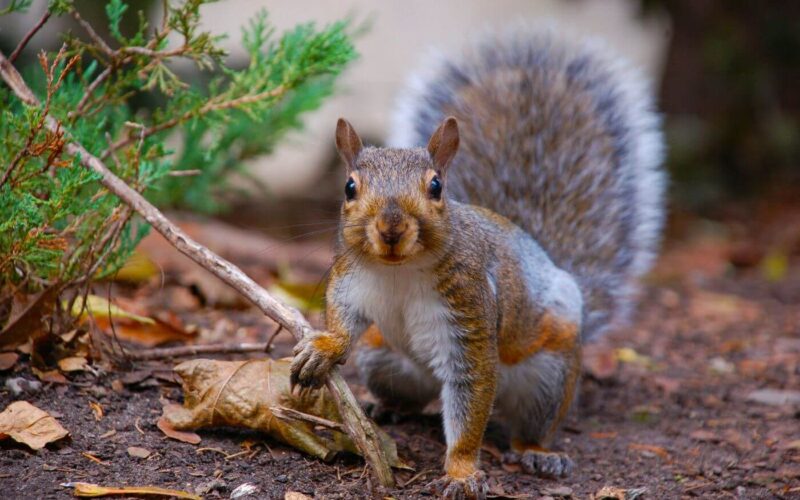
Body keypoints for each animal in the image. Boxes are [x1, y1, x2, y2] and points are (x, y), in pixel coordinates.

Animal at [291, 26, 665, 499]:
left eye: (436, 186)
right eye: (349, 187)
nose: (391, 229)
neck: (399, 272)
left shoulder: (469, 310)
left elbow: (472, 396)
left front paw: (462, 471)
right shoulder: (350, 278)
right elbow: (342, 317)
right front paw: (324, 348)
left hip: (550, 372)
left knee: (527, 421)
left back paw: (537, 452)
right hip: (382, 359)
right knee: (410, 393)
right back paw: (387, 407)